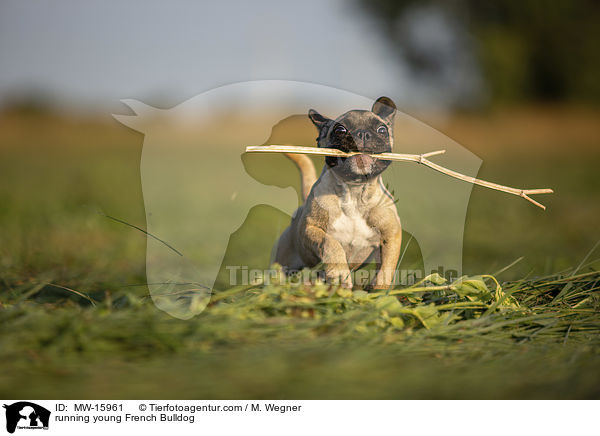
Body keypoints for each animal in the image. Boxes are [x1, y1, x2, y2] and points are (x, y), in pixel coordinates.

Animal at [274, 96, 400, 288]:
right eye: (340, 130)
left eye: (382, 130)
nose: (362, 134)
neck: (354, 191)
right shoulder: (311, 229)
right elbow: (330, 243)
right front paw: (339, 273)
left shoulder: (391, 235)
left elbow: (387, 265)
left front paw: (379, 287)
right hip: (284, 261)